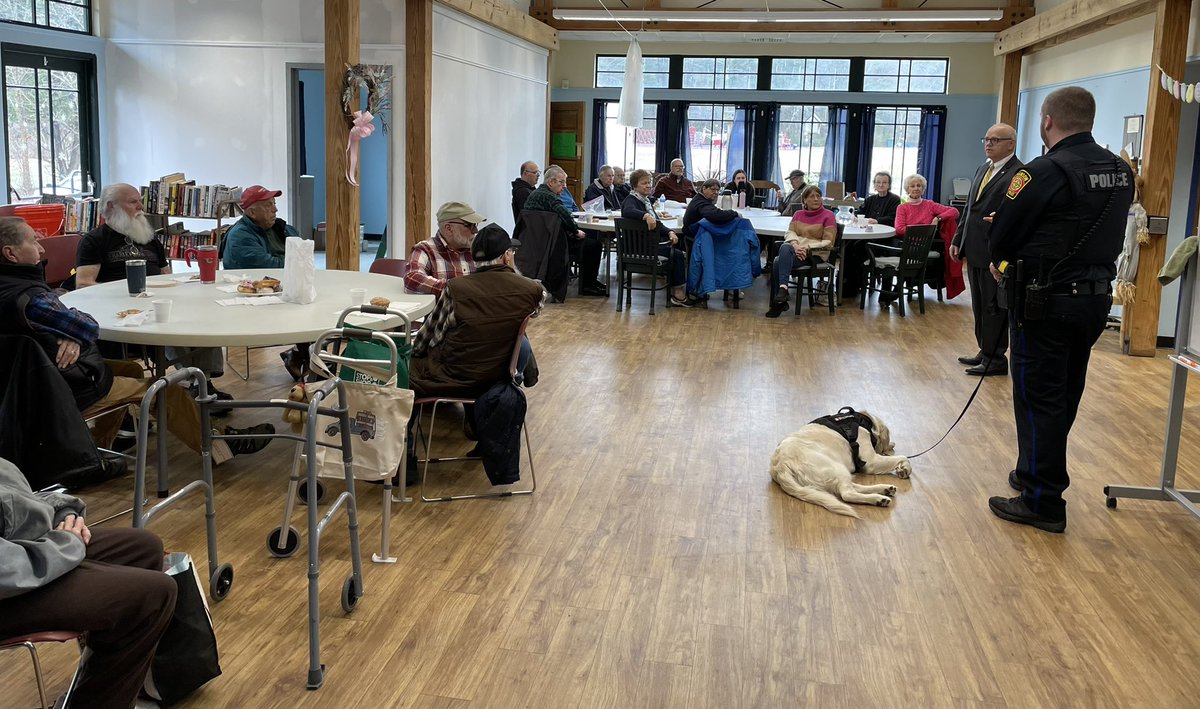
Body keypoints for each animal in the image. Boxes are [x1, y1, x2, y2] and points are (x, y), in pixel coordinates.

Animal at [772, 407, 912, 518]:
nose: (893, 445)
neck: (863, 420)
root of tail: (780, 466)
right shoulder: (871, 461)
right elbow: (903, 457)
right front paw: (905, 468)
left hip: (833, 474)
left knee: (852, 488)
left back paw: (884, 489)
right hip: (835, 468)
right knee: (847, 494)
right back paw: (878, 499)